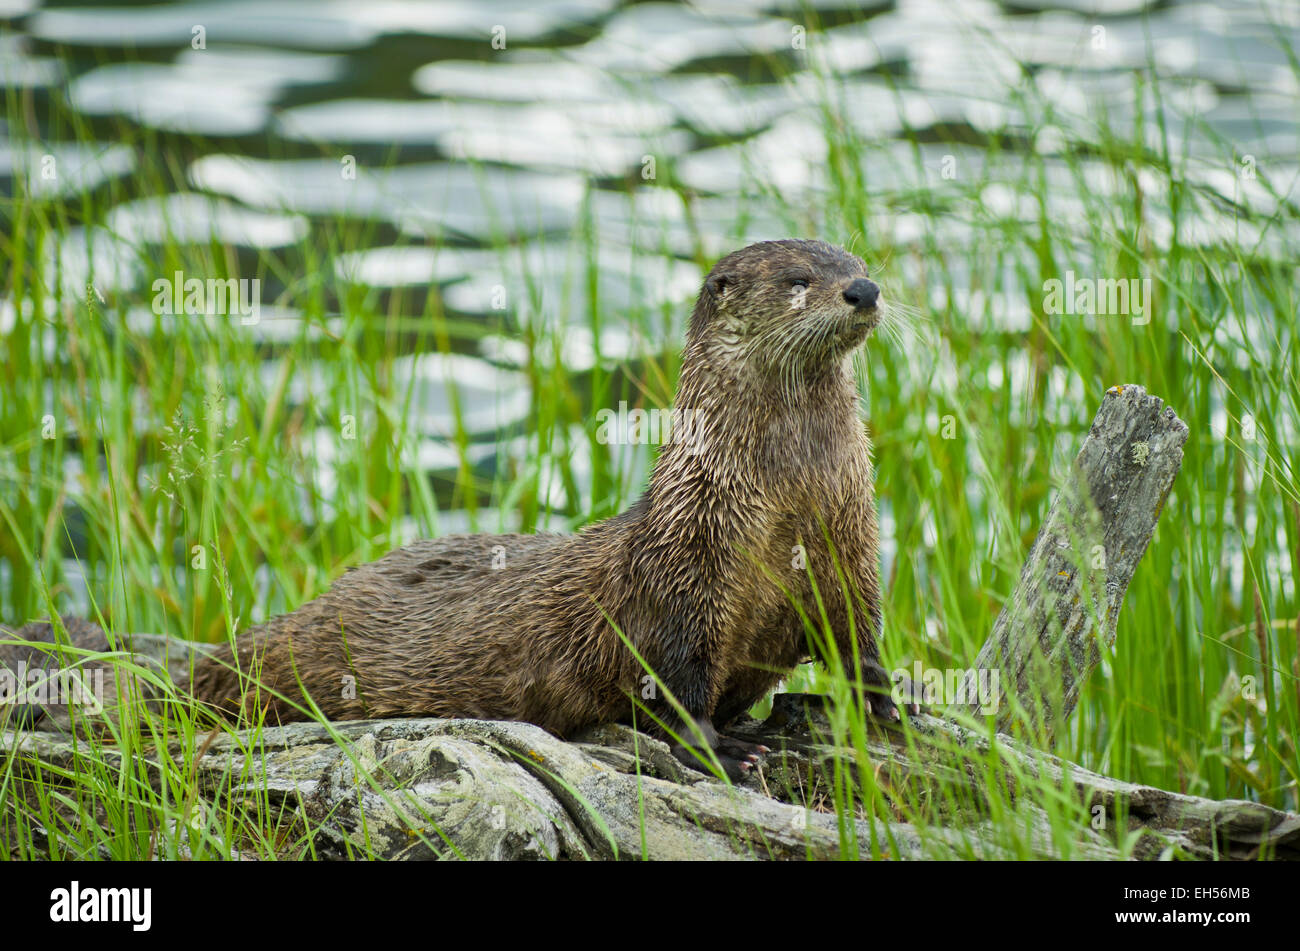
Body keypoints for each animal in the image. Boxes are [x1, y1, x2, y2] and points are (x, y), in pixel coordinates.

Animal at [2, 237, 904, 779]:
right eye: (800, 282)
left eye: (856, 258)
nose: (863, 289)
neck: (783, 511)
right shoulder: (685, 574)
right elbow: (674, 685)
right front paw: (728, 747)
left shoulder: (852, 548)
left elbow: (861, 639)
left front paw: (887, 708)